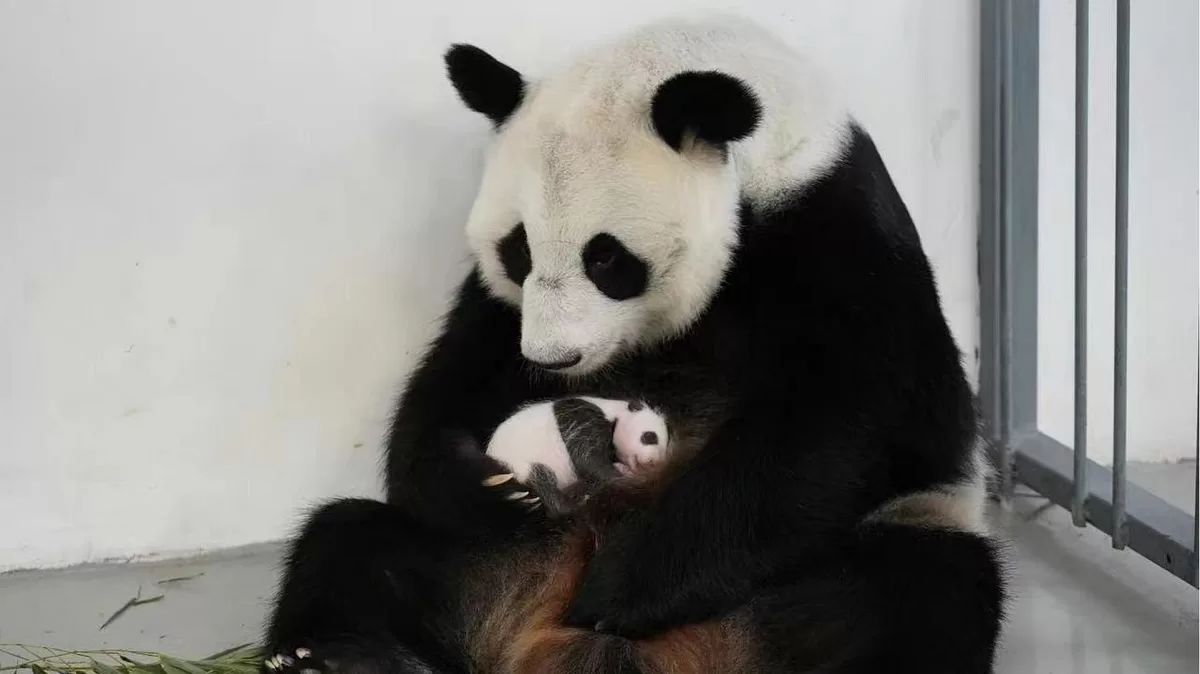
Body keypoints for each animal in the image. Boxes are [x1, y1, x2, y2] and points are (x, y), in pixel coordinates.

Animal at [484, 396, 671, 515]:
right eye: (650, 436)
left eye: (665, 450)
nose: (654, 463)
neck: (614, 411)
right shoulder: (581, 421)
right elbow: (586, 458)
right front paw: (623, 478)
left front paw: (624, 469)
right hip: (520, 462)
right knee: (543, 480)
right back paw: (576, 503)